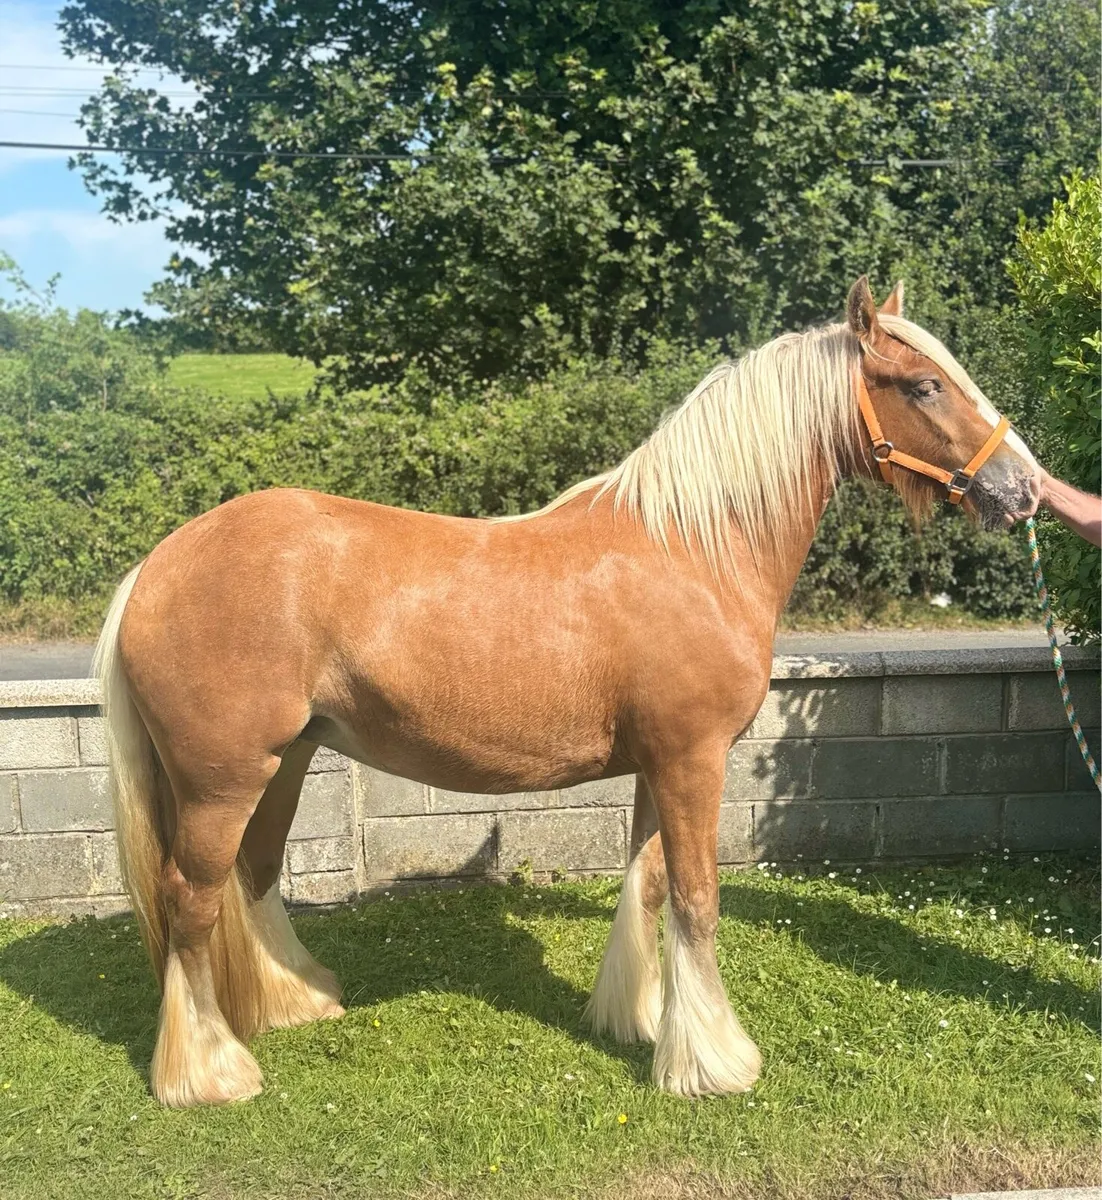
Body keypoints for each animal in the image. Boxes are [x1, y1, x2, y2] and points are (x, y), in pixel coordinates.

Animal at [93, 277, 1041, 1108]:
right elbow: (697, 899)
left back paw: (291, 1003)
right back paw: (209, 1072)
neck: (694, 548)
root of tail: (156, 567)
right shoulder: (693, 760)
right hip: (223, 779)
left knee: (250, 878)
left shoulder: (661, 765)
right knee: (189, 898)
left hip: (282, 764)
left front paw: (646, 1025)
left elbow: (651, 888)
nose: (1025, 489)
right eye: (924, 383)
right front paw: (715, 1064)